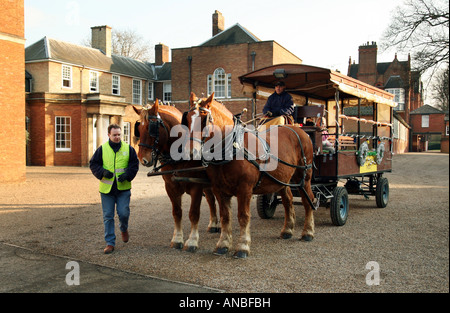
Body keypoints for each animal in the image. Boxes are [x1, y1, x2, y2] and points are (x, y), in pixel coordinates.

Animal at [133, 98, 219, 252]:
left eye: (151, 128)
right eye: (139, 128)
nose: (143, 159)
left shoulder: (196, 186)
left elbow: (193, 213)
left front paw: (192, 241)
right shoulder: (171, 186)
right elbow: (177, 212)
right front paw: (177, 239)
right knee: (211, 200)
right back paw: (214, 224)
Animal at [185, 91, 314, 258]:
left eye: (203, 118)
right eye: (188, 118)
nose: (190, 153)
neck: (234, 147)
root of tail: (298, 130)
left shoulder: (245, 189)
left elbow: (243, 216)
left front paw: (243, 246)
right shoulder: (219, 189)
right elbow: (225, 216)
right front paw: (223, 244)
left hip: (304, 177)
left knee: (308, 200)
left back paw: (308, 232)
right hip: (283, 179)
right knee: (288, 201)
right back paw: (287, 230)